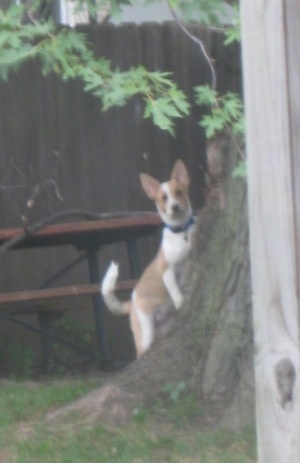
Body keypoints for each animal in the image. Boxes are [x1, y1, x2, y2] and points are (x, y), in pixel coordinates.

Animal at [100, 160, 195, 358]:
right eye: (163, 198)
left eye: (179, 192)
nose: (175, 207)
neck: (181, 231)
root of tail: (130, 304)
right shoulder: (166, 269)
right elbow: (174, 288)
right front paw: (180, 300)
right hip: (145, 334)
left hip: (162, 329)